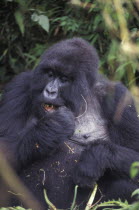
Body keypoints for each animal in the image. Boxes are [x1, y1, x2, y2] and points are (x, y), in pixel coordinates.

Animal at [0, 38, 139, 210]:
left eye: (64, 79)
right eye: (50, 74)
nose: (50, 91)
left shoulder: (120, 98)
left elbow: (134, 153)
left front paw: (96, 157)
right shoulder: (19, 86)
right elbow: (4, 146)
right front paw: (50, 129)